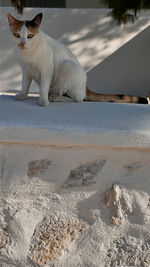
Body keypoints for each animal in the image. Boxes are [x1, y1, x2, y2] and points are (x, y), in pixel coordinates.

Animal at [7, 12, 149, 107]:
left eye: (30, 36)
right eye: (17, 35)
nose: (22, 44)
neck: (28, 54)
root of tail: (85, 86)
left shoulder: (47, 69)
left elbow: (44, 86)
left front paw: (43, 100)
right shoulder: (26, 70)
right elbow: (25, 84)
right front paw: (23, 95)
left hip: (68, 65)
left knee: (78, 99)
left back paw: (55, 97)